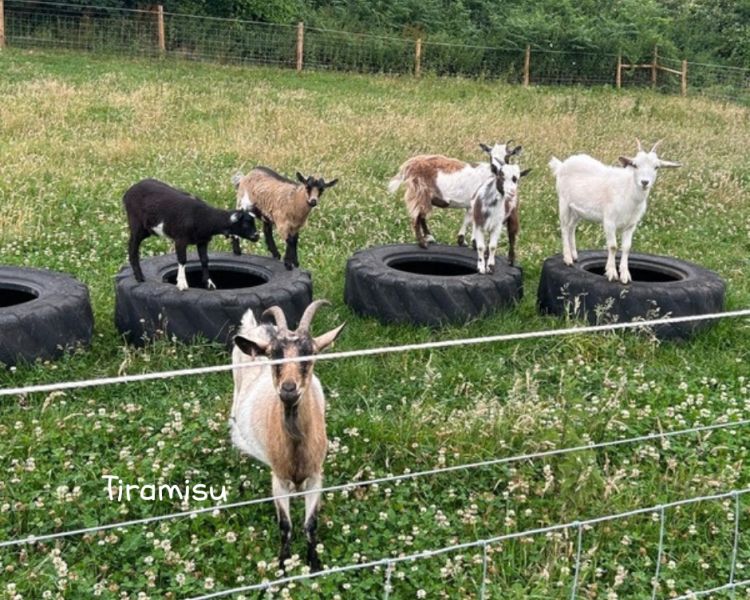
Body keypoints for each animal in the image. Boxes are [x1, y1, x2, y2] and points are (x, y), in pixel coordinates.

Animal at [123, 179, 259, 291]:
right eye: (246, 224)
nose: (257, 236)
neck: (205, 219)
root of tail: (128, 192)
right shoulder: (180, 239)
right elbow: (182, 260)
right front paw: (182, 283)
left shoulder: (202, 241)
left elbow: (205, 260)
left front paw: (209, 283)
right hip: (136, 224)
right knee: (132, 248)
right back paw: (139, 277)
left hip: (147, 230)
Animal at [230, 300, 345, 571]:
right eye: (273, 355)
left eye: (310, 353)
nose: (289, 389)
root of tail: (255, 327)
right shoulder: (278, 480)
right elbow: (285, 525)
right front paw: (283, 566)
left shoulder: (316, 477)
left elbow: (310, 524)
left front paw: (314, 564)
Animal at [387, 141, 523, 248]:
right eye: (490, 154)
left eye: (507, 155)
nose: (495, 168)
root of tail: (408, 166)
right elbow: (472, 221)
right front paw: (471, 242)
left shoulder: (471, 204)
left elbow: (468, 219)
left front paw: (463, 241)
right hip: (419, 191)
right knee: (416, 217)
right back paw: (423, 243)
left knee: (421, 216)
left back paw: (429, 237)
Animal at [549, 140, 681, 284]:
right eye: (635, 165)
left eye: (656, 167)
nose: (644, 182)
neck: (628, 190)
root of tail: (562, 165)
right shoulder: (609, 220)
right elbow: (613, 246)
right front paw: (611, 272)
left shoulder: (631, 225)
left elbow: (627, 247)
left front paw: (625, 275)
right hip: (563, 201)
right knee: (564, 227)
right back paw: (567, 258)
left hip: (577, 210)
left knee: (571, 227)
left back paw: (574, 255)